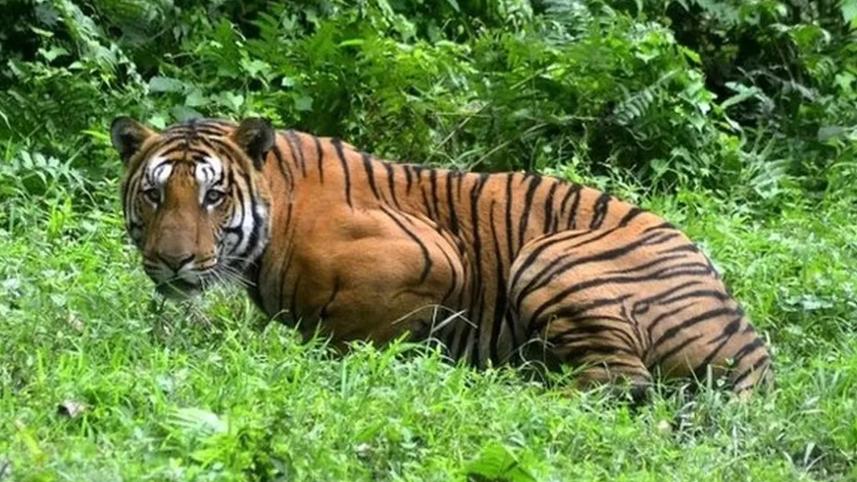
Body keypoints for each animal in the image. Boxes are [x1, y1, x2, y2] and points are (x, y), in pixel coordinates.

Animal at [110, 116, 773, 398]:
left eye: (213, 195)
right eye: (155, 193)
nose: (172, 261)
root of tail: (750, 343)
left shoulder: (433, 257)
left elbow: (350, 332)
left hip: (550, 256)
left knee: (620, 382)